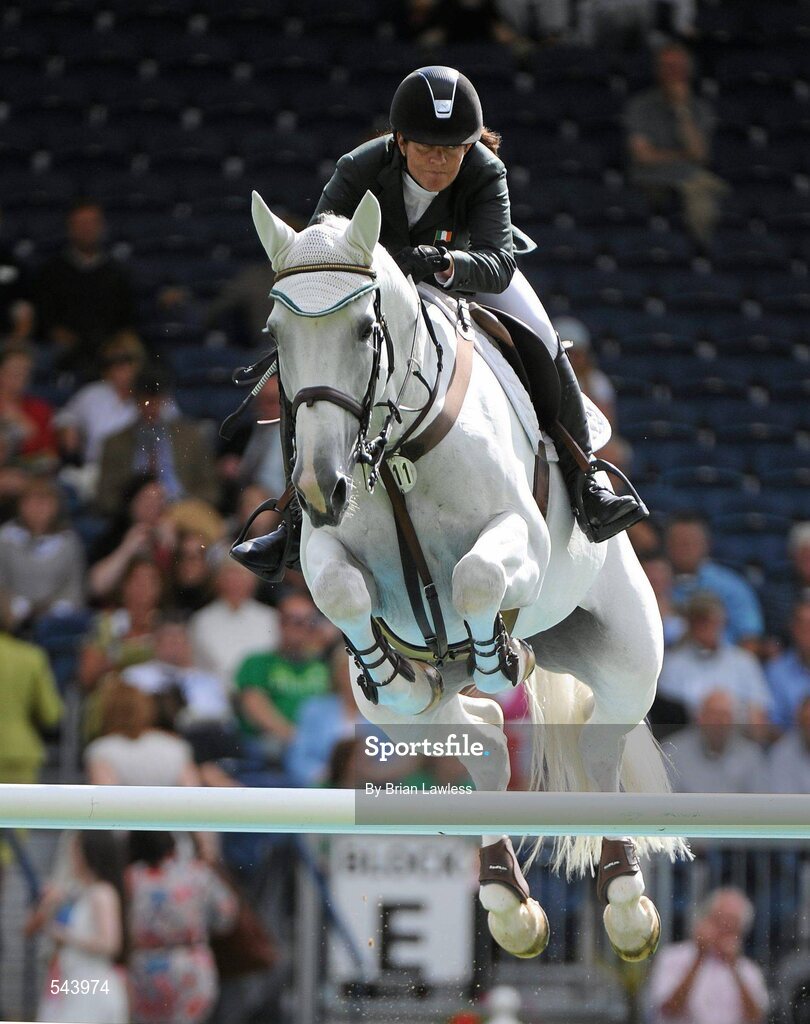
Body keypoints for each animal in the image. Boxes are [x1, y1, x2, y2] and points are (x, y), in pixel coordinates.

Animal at [247, 187, 688, 962]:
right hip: (383, 718)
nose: (321, 487)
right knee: (479, 746)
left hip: (628, 656)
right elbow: (341, 589)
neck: (394, 446)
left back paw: (627, 904)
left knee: (599, 747)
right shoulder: (328, 554)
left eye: (365, 330)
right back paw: (508, 900)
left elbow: (477, 576)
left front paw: (494, 655)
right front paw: (395, 669)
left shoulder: (521, 541)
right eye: (276, 333)